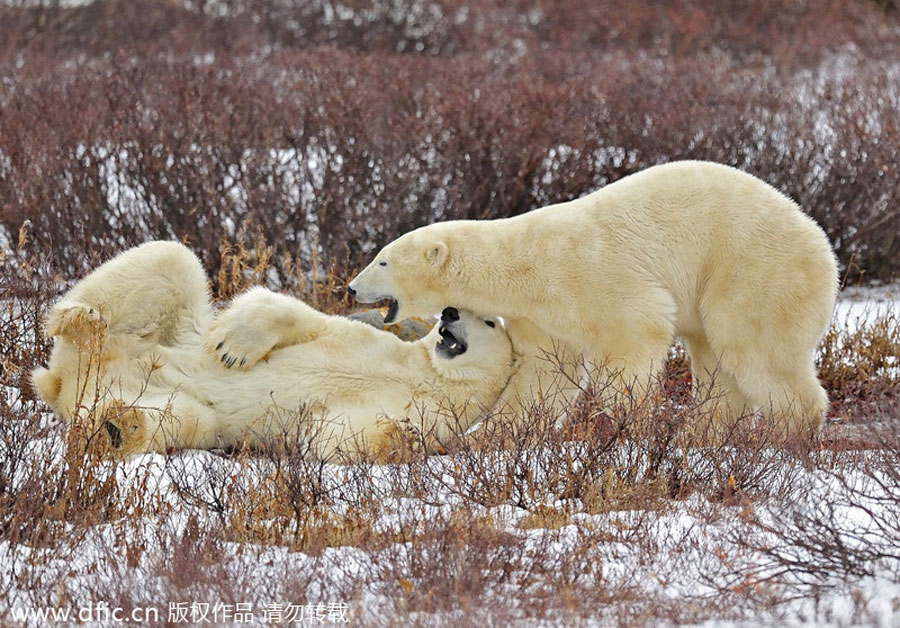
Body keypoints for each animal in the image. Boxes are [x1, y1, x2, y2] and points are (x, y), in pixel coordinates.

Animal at [31, 240, 516, 456]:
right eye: (458, 309)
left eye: (489, 320)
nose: (449, 313)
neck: (428, 375)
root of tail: (62, 384)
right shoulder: (366, 339)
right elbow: (298, 316)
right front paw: (233, 349)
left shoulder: (433, 412)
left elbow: (338, 434)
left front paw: (401, 437)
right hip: (144, 336)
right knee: (169, 258)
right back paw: (79, 320)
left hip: (161, 399)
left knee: (182, 419)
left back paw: (117, 427)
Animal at [348, 161, 840, 436]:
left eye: (382, 260)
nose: (351, 287)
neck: (523, 263)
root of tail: (822, 242)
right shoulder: (538, 314)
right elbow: (544, 373)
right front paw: (495, 433)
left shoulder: (586, 273)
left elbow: (635, 331)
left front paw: (621, 422)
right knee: (714, 359)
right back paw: (703, 432)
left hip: (751, 268)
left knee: (754, 346)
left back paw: (787, 432)